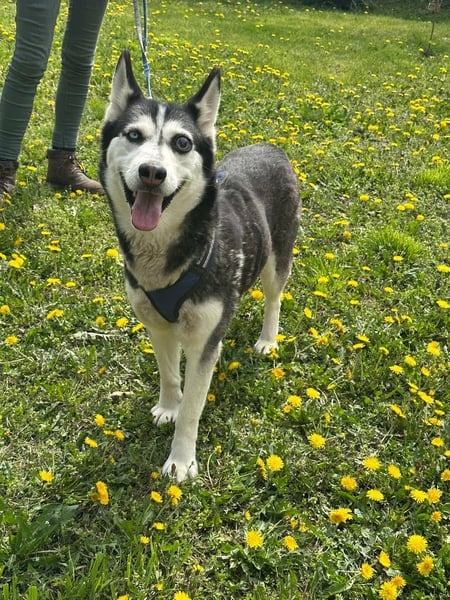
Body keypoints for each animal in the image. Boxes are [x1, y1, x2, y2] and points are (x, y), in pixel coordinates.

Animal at [100, 50, 300, 481]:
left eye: (182, 143)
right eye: (134, 136)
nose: (152, 172)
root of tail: (271, 146)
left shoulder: (203, 337)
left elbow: (194, 407)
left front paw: (180, 460)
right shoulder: (157, 325)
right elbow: (169, 374)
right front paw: (168, 406)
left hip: (278, 257)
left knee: (274, 296)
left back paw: (268, 338)